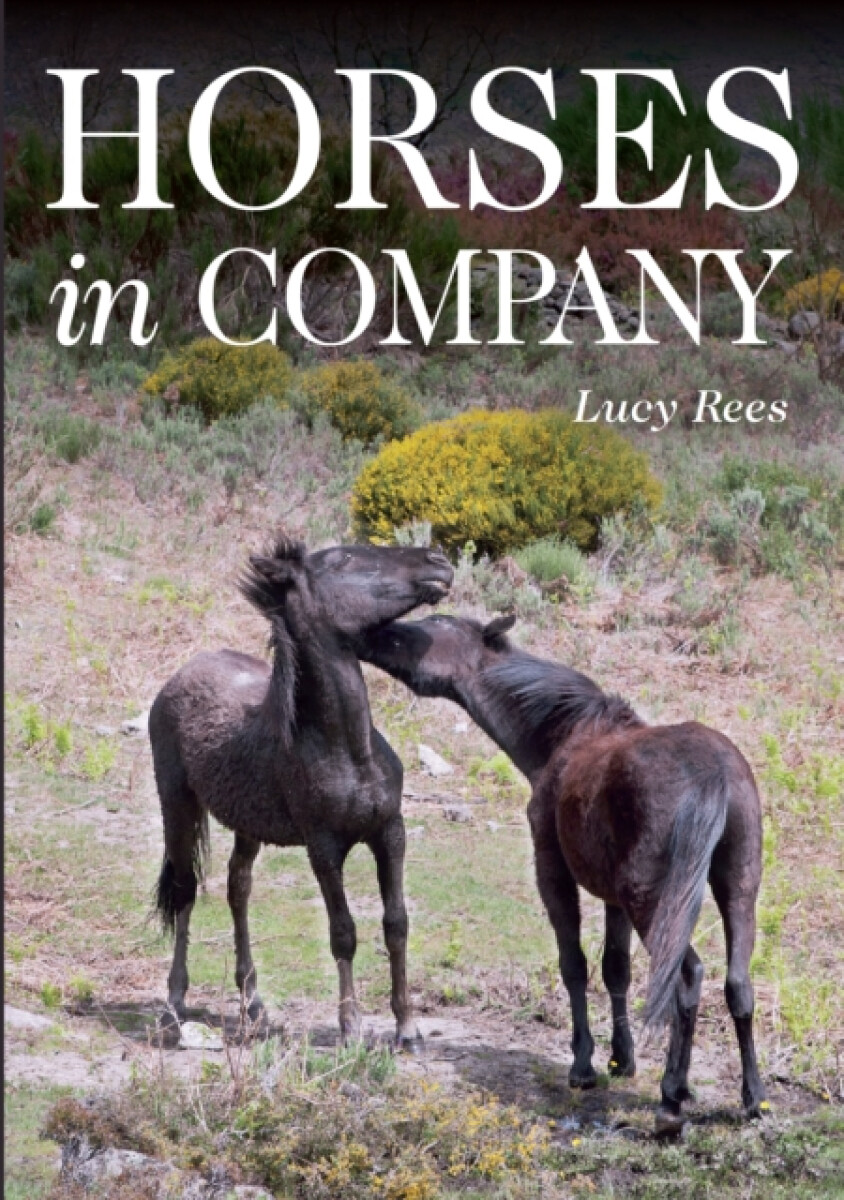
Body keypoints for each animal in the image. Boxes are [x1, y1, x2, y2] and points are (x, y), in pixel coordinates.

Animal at [149, 536, 452, 1047]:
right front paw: (351, 1028)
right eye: (345, 559)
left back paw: (253, 1004)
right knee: (186, 891)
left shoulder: (391, 833)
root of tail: (182, 673)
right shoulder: (323, 848)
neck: (347, 749)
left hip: (247, 826)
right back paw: (174, 1004)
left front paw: (407, 1028)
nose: (440, 562)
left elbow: (396, 923)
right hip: (178, 805)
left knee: (238, 889)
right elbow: (343, 931)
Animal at [354, 613, 766, 1132]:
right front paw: (622, 1059)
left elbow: (574, 964)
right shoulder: (612, 896)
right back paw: (753, 1097)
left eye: (426, 628)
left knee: (686, 977)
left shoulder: (553, 872)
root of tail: (712, 774)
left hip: (653, 902)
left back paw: (672, 1096)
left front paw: (584, 1064)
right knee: (738, 984)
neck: (562, 735)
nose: (368, 633)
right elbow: (616, 969)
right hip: (736, 890)